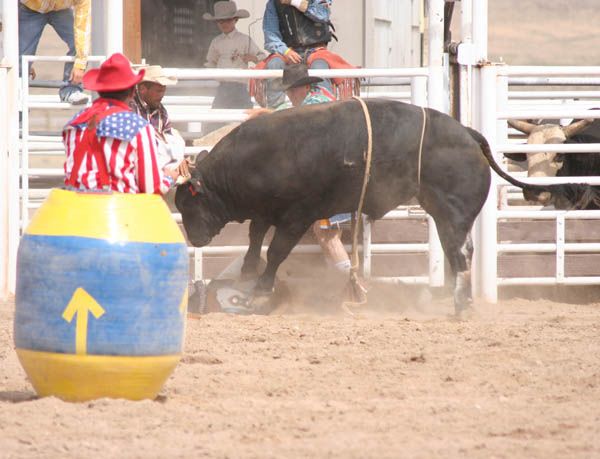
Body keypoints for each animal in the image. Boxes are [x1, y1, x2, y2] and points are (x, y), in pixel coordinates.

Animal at [173, 99, 592, 316]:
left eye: (190, 203)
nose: (194, 238)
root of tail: (469, 134)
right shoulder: (265, 212)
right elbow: (254, 240)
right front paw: (245, 274)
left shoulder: (298, 216)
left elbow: (275, 252)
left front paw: (258, 290)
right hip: (443, 212)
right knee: (459, 251)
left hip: (453, 212)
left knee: (460, 254)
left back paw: (460, 304)